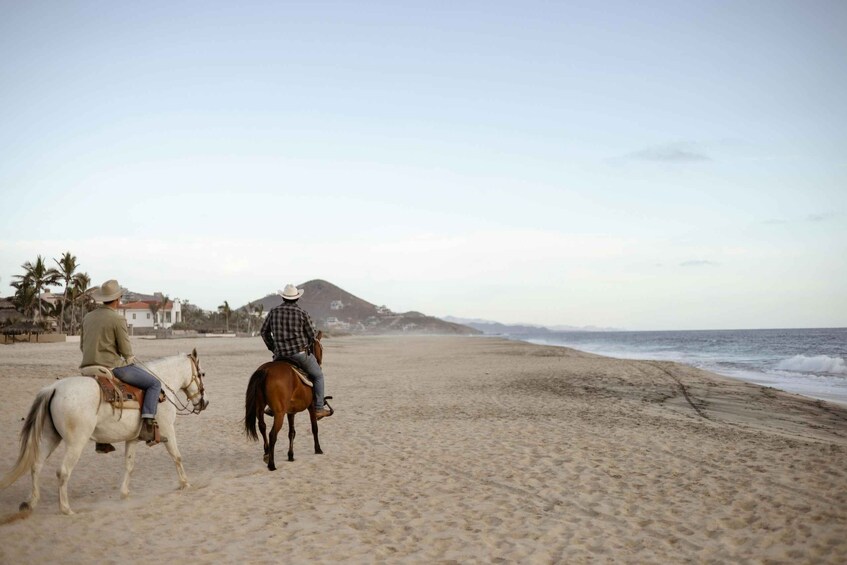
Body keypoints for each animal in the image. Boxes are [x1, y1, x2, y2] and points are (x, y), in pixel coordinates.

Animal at [0, 350, 208, 515]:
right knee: (63, 472)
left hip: (50, 437)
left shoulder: (133, 438)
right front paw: (185, 483)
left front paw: (124, 494)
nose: (204, 402)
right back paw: (66, 509)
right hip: (76, 443)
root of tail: (54, 388)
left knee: (36, 465)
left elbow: (129, 465)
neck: (162, 385)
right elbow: (177, 457)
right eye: (201, 373)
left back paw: (30, 503)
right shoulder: (167, 429)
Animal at [244, 332, 332, 471]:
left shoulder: (291, 412)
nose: (320, 362)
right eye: (321, 348)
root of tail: (266, 370)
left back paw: (267, 453)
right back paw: (271, 464)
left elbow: (292, 432)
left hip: (260, 407)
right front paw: (318, 449)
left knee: (262, 427)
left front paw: (291, 455)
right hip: (279, 413)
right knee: (272, 434)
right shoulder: (311, 407)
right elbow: (314, 428)